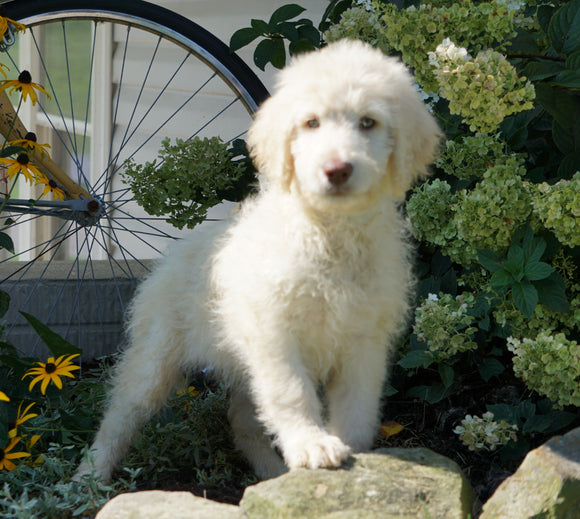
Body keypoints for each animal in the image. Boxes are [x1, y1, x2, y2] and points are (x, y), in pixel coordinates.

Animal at [77, 38, 440, 482]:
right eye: (311, 123)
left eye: (368, 122)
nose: (337, 170)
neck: (329, 236)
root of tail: (178, 250)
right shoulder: (275, 335)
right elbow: (292, 394)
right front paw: (312, 444)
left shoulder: (363, 342)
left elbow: (357, 406)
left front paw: (350, 454)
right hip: (156, 355)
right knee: (121, 413)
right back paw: (88, 477)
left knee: (243, 422)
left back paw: (273, 471)